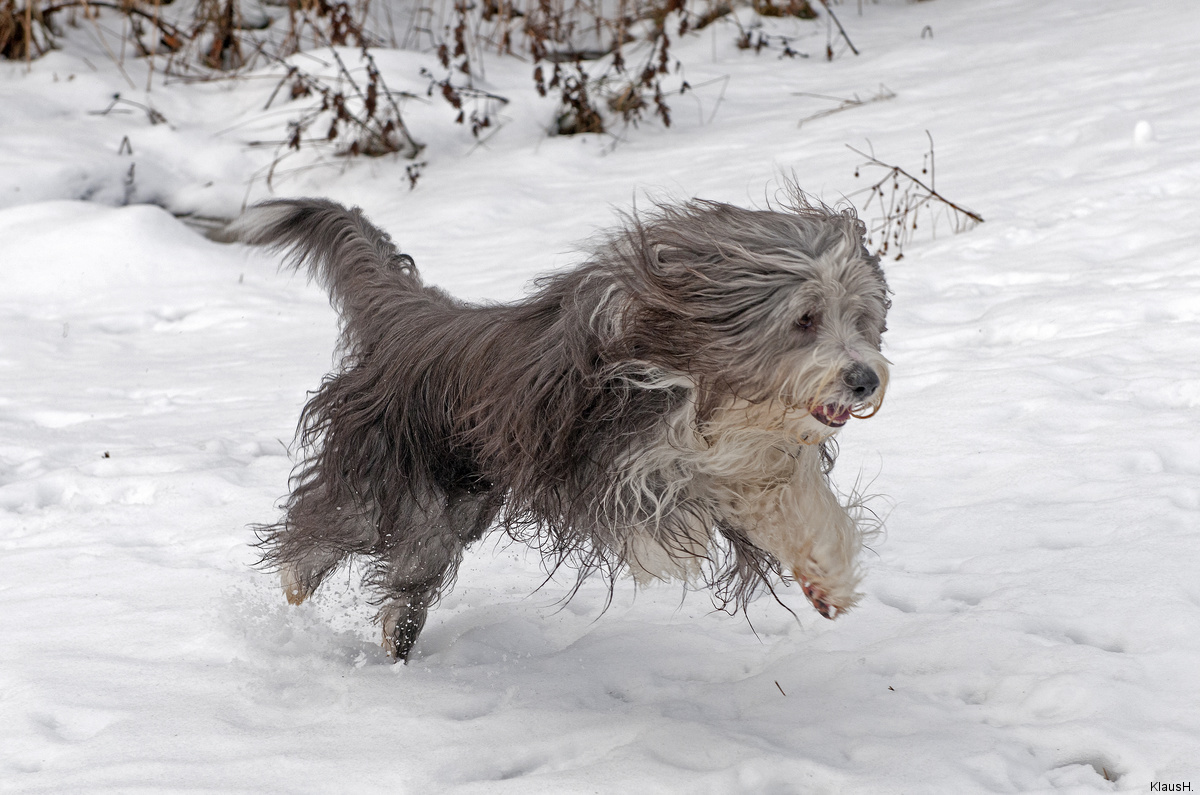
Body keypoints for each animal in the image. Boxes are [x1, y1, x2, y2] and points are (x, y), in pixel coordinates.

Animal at [234, 195, 892, 662]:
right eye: (804, 319)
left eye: (860, 317)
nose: (864, 380)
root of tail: (417, 318)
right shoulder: (611, 459)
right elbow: (670, 498)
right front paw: (675, 542)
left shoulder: (756, 458)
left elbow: (794, 500)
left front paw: (828, 580)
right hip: (382, 478)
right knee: (327, 526)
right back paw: (295, 581)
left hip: (450, 511)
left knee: (410, 576)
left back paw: (398, 638)